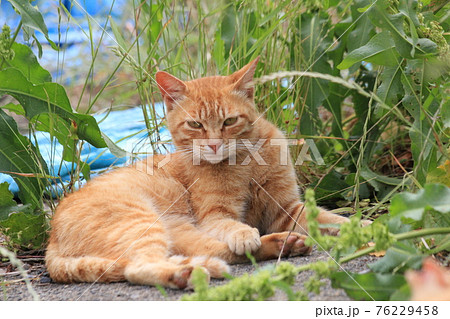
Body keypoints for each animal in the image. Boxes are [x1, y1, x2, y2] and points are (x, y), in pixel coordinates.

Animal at [45, 58, 348, 290]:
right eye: (195, 124)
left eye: (229, 121)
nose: (213, 144)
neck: (245, 161)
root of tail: (52, 238)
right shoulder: (214, 216)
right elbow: (233, 227)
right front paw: (244, 234)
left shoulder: (286, 209)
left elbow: (331, 219)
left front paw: (358, 228)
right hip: (143, 222)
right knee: (139, 267)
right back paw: (189, 273)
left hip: (179, 230)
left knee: (199, 252)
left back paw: (283, 244)